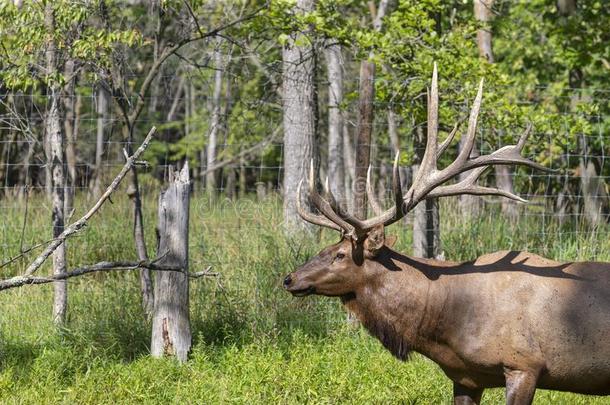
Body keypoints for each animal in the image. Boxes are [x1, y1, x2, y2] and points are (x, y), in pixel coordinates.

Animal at [282, 64, 608, 402]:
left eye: (340, 254)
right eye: (326, 248)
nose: (289, 278)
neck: (448, 323)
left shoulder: (524, 365)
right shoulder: (465, 376)